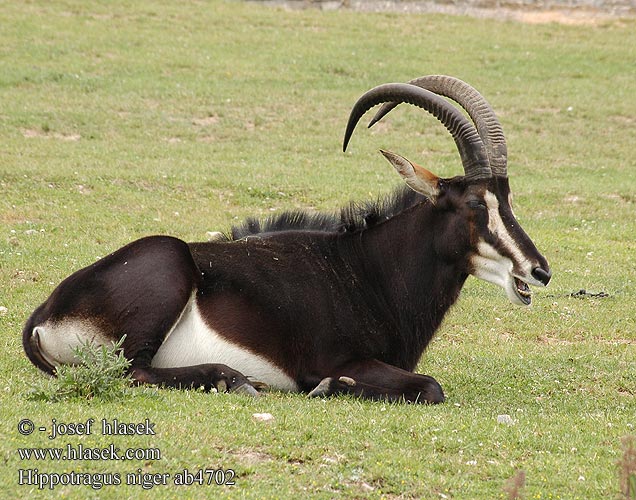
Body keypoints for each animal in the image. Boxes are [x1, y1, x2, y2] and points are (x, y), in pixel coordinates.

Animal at [23, 75, 552, 402]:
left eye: (507, 199)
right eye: (475, 205)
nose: (539, 271)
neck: (368, 269)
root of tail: (42, 317)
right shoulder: (335, 359)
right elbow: (429, 386)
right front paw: (329, 388)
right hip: (167, 268)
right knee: (132, 371)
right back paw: (230, 378)